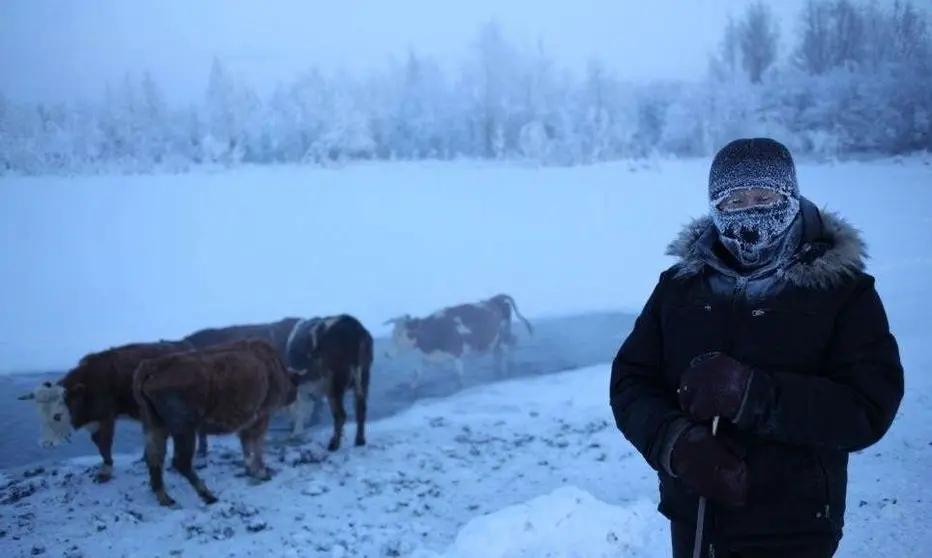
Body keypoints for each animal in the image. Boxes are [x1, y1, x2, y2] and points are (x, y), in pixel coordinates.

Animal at [16, 340, 208, 484]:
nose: (45, 444)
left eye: (57, 415)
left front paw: (106, 471)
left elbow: (104, 444)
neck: (87, 387)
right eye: (40, 414)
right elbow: (98, 443)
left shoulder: (106, 418)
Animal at [131, 336, 296, 508]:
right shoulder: (262, 417)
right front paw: (262, 473)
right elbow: (256, 447)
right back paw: (208, 495)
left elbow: (247, 446)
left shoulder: (247, 424)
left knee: (155, 458)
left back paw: (165, 499)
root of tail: (151, 367)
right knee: (180, 462)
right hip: (184, 429)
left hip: (155, 426)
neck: (273, 366)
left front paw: (251, 470)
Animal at [286, 316, 374, 456]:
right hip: (363, 378)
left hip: (334, 384)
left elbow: (300, 409)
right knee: (361, 409)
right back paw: (360, 441)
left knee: (341, 415)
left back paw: (333, 445)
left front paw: (296, 433)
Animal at [382, 294, 536, 390]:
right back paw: (498, 368)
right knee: (502, 348)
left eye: (401, 334)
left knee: (510, 344)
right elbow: (417, 373)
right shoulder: (426, 357)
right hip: (497, 339)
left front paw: (461, 388)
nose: (387, 354)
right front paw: (412, 387)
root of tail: (495, 299)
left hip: (503, 335)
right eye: (393, 332)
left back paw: (506, 367)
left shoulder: (456, 353)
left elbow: (459, 376)